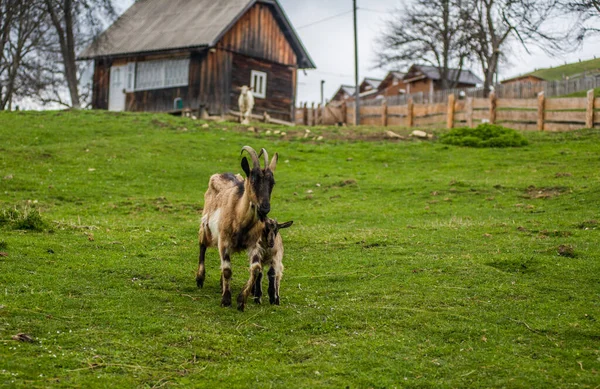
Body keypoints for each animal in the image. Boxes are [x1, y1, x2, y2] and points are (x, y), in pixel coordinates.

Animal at [199, 144, 278, 308]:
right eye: (253, 180)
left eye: (272, 183)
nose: (265, 208)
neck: (240, 219)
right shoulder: (223, 240)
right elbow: (227, 270)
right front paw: (226, 300)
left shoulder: (254, 243)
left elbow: (256, 269)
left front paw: (242, 299)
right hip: (205, 224)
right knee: (202, 245)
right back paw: (200, 278)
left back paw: (221, 284)